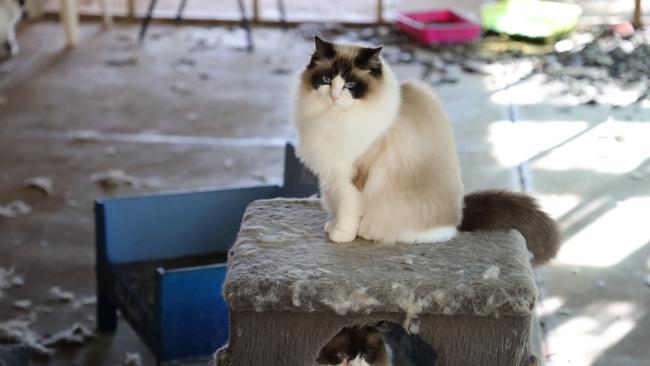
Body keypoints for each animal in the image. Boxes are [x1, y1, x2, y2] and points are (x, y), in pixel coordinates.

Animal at [294, 37, 556, 264]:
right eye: (327, 79)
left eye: (350, 85)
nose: (334, 95)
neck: (334, 118)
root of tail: (459, 213)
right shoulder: (332, 177)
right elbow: (338, 207)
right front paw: (333, 227)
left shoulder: (352, 177)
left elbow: (348, 210)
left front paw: (342, 235)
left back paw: (372, 232)